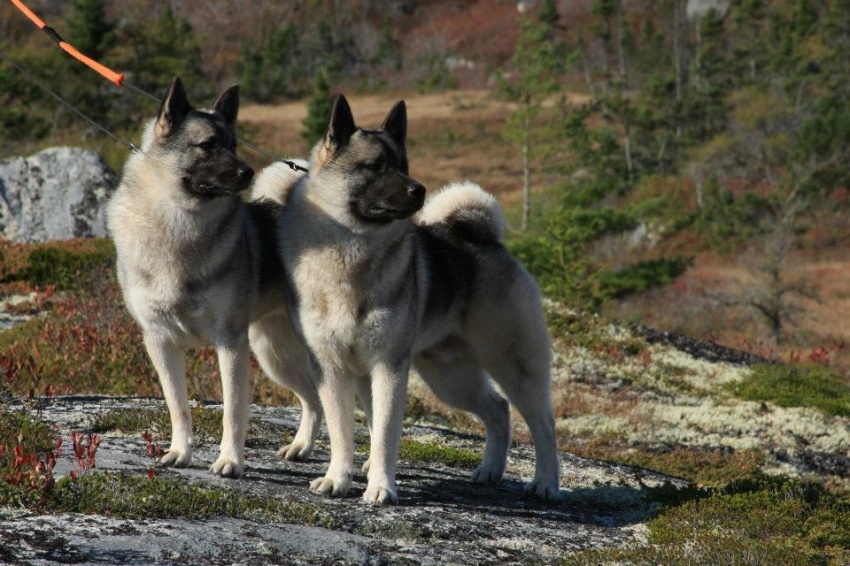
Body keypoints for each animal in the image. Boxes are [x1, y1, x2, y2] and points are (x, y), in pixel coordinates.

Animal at [106, 76, 318, 480]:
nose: (247, 173)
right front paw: (180, 452)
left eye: (233, 144)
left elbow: (233, 411)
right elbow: (178, 404)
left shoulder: (230, 343)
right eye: (207, 145)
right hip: (275, 356)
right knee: (315, 401)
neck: (178, 224)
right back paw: (301, 447)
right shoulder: (160, 342)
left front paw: (230, 461)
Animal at [255, 94, 560, 506]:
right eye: (375, 167)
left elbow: (384, 433)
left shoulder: (387, 368)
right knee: (497, 409)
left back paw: (546, 483)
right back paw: (490, 470)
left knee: (544, 425)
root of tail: (487, 240)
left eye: (404, 165)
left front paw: (381, 487)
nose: (420, 189)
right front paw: (338, 479)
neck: (350, 254)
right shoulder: (332, 370)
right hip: (450, 377)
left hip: (515, 367)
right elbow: (341, 431)